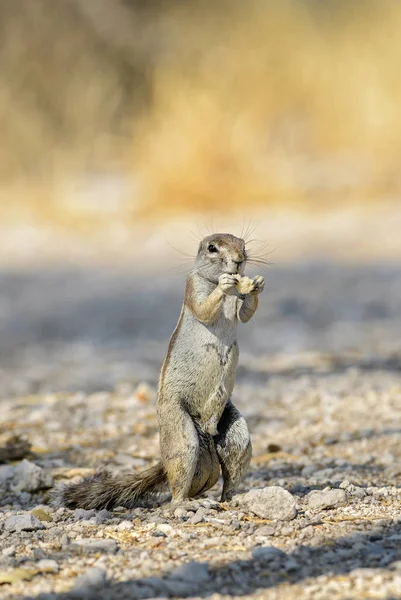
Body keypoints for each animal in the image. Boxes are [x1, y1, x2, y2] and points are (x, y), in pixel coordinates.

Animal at [59, 232, 264, 508]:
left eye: (243, 244)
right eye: (212, 248)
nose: (240, 260)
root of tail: (206, 430)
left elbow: (245, 314)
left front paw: (257, 284)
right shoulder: (192, 289)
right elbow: (204, 309)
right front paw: (224, 284)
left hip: (235, 435)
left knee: (229, 468)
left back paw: (230, 499)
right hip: (181, 434)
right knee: (177, 488)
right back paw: (186, 504)